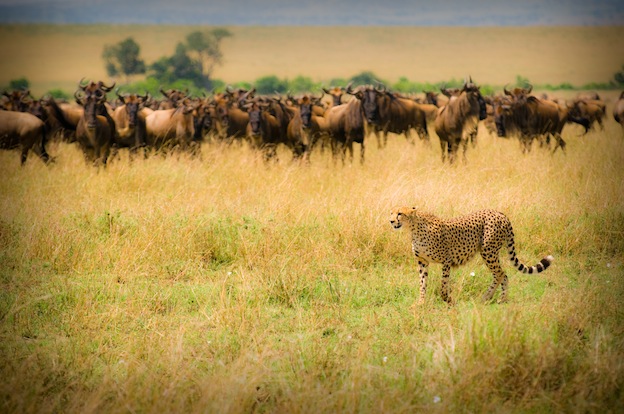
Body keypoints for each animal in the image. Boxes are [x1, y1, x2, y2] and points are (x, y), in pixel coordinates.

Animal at [390, 207, 556, 304]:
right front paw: (421, 302)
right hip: (490, 252)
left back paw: (489, 297)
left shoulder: (446, 260)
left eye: (400, 213)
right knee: (503, 275)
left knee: (500, 274)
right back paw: (500, 298)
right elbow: (422, 283)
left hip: (488, 251)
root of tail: (499, 213)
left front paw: (446, 299)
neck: (414, 228)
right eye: (391, 213)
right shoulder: (422, 262)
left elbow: (443, 283)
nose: (391, 221)